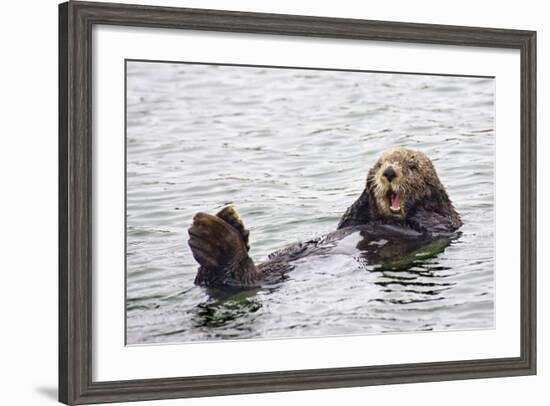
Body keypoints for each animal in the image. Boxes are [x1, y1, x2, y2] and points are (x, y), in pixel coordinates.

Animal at [188, 148, 464, 288]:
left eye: (412, 167)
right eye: (380, 163)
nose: (388, 172)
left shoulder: (447, 222)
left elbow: (434, 222)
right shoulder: (354, 219)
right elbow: (349, 217)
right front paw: (366, 190)